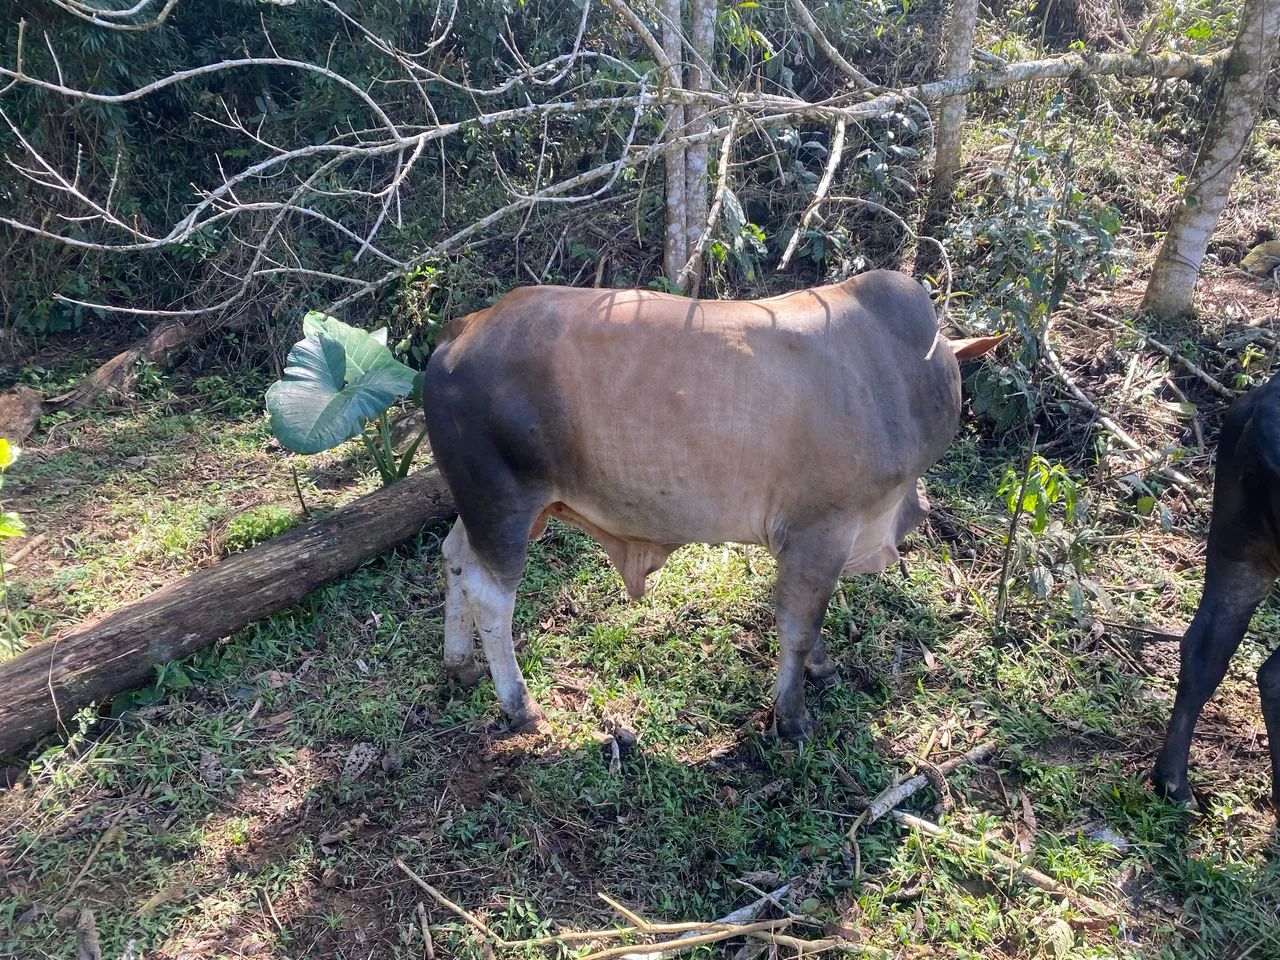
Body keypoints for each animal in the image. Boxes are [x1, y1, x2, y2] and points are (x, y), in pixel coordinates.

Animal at [423, 270, 1001, 736]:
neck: (897, 374)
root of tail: (464, 328)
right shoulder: (819, 533)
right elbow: (798, 627)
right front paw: (792, 716)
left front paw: (820, 668)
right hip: (502, 504)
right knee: (491, 597)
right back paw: (520, 705)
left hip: (481, 505)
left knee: (455, 557)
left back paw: (460, 663)